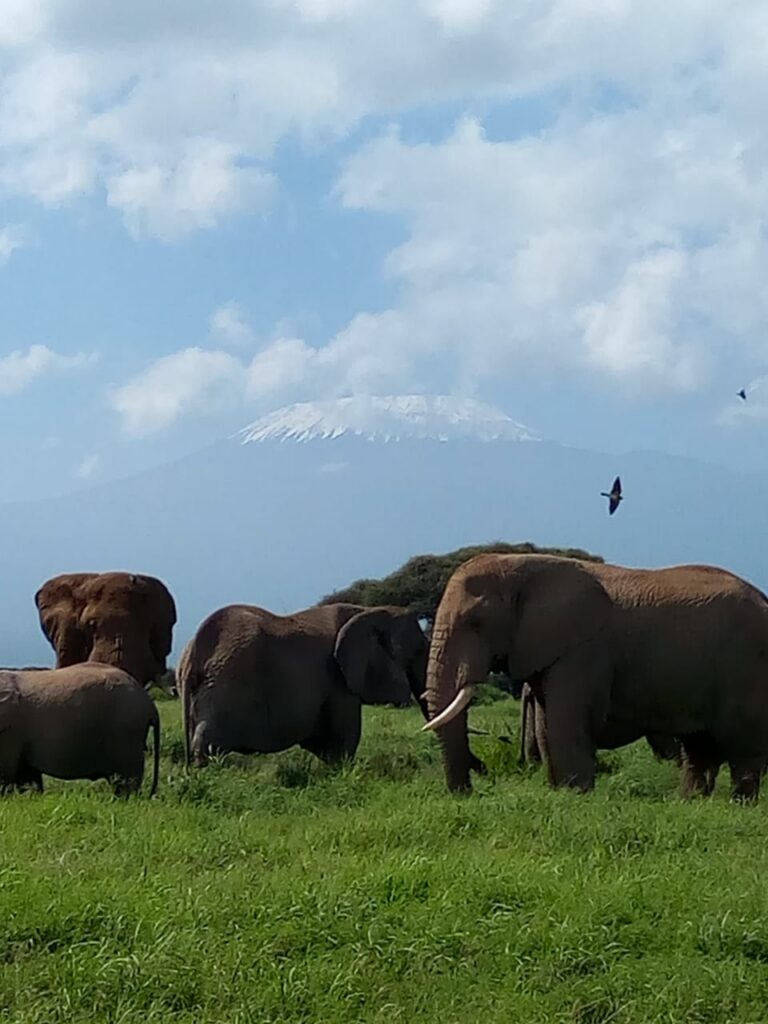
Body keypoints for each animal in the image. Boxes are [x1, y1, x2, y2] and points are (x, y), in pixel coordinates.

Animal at [177, 598, 436, 770]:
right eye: (418, 651)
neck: (370, 611)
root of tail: (193, 651)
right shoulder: (337, 679)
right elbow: (345, 736)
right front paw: (340, 772)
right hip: (225, 685)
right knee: (208, 741)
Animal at [423, 552, 768, 798]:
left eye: (476, 622)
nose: (468, 793)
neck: (519, 565)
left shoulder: (582, 650)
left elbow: (565, 723)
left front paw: (575, 797)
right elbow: (547, 727)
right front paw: (562, 794)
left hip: (747, 666)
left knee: (742, 746)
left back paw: (739, 803)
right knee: (699, 745)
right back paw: (691, 802)